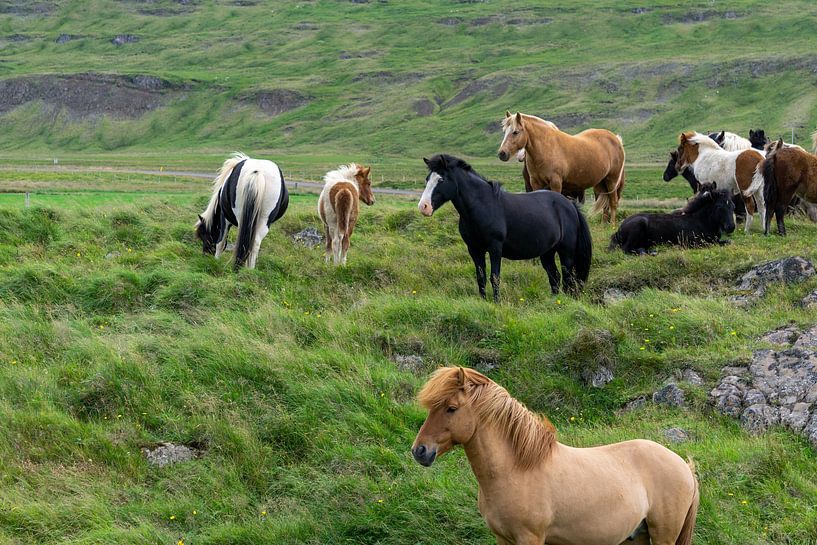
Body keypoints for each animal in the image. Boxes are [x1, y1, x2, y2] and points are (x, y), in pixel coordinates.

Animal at [412, 367, 699, 545]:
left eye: (451, 408)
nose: (419, 451)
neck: (516, 469)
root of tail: (684, 466)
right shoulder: (502, 538)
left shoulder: (530, 538)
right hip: (639, 536)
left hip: (663, 536)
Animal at [418, 154, 591, 300]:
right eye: (427, 179)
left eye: (441, 180)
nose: (423, 207)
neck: (483, 206)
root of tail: (569, 204)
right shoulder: (474, 249)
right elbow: (480, 277)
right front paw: (483, 301)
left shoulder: (495, 248)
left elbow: (494, 277)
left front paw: (497, 302)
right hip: (547, 252)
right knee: (554, 276)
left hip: (566, 251)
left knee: (568, 277)